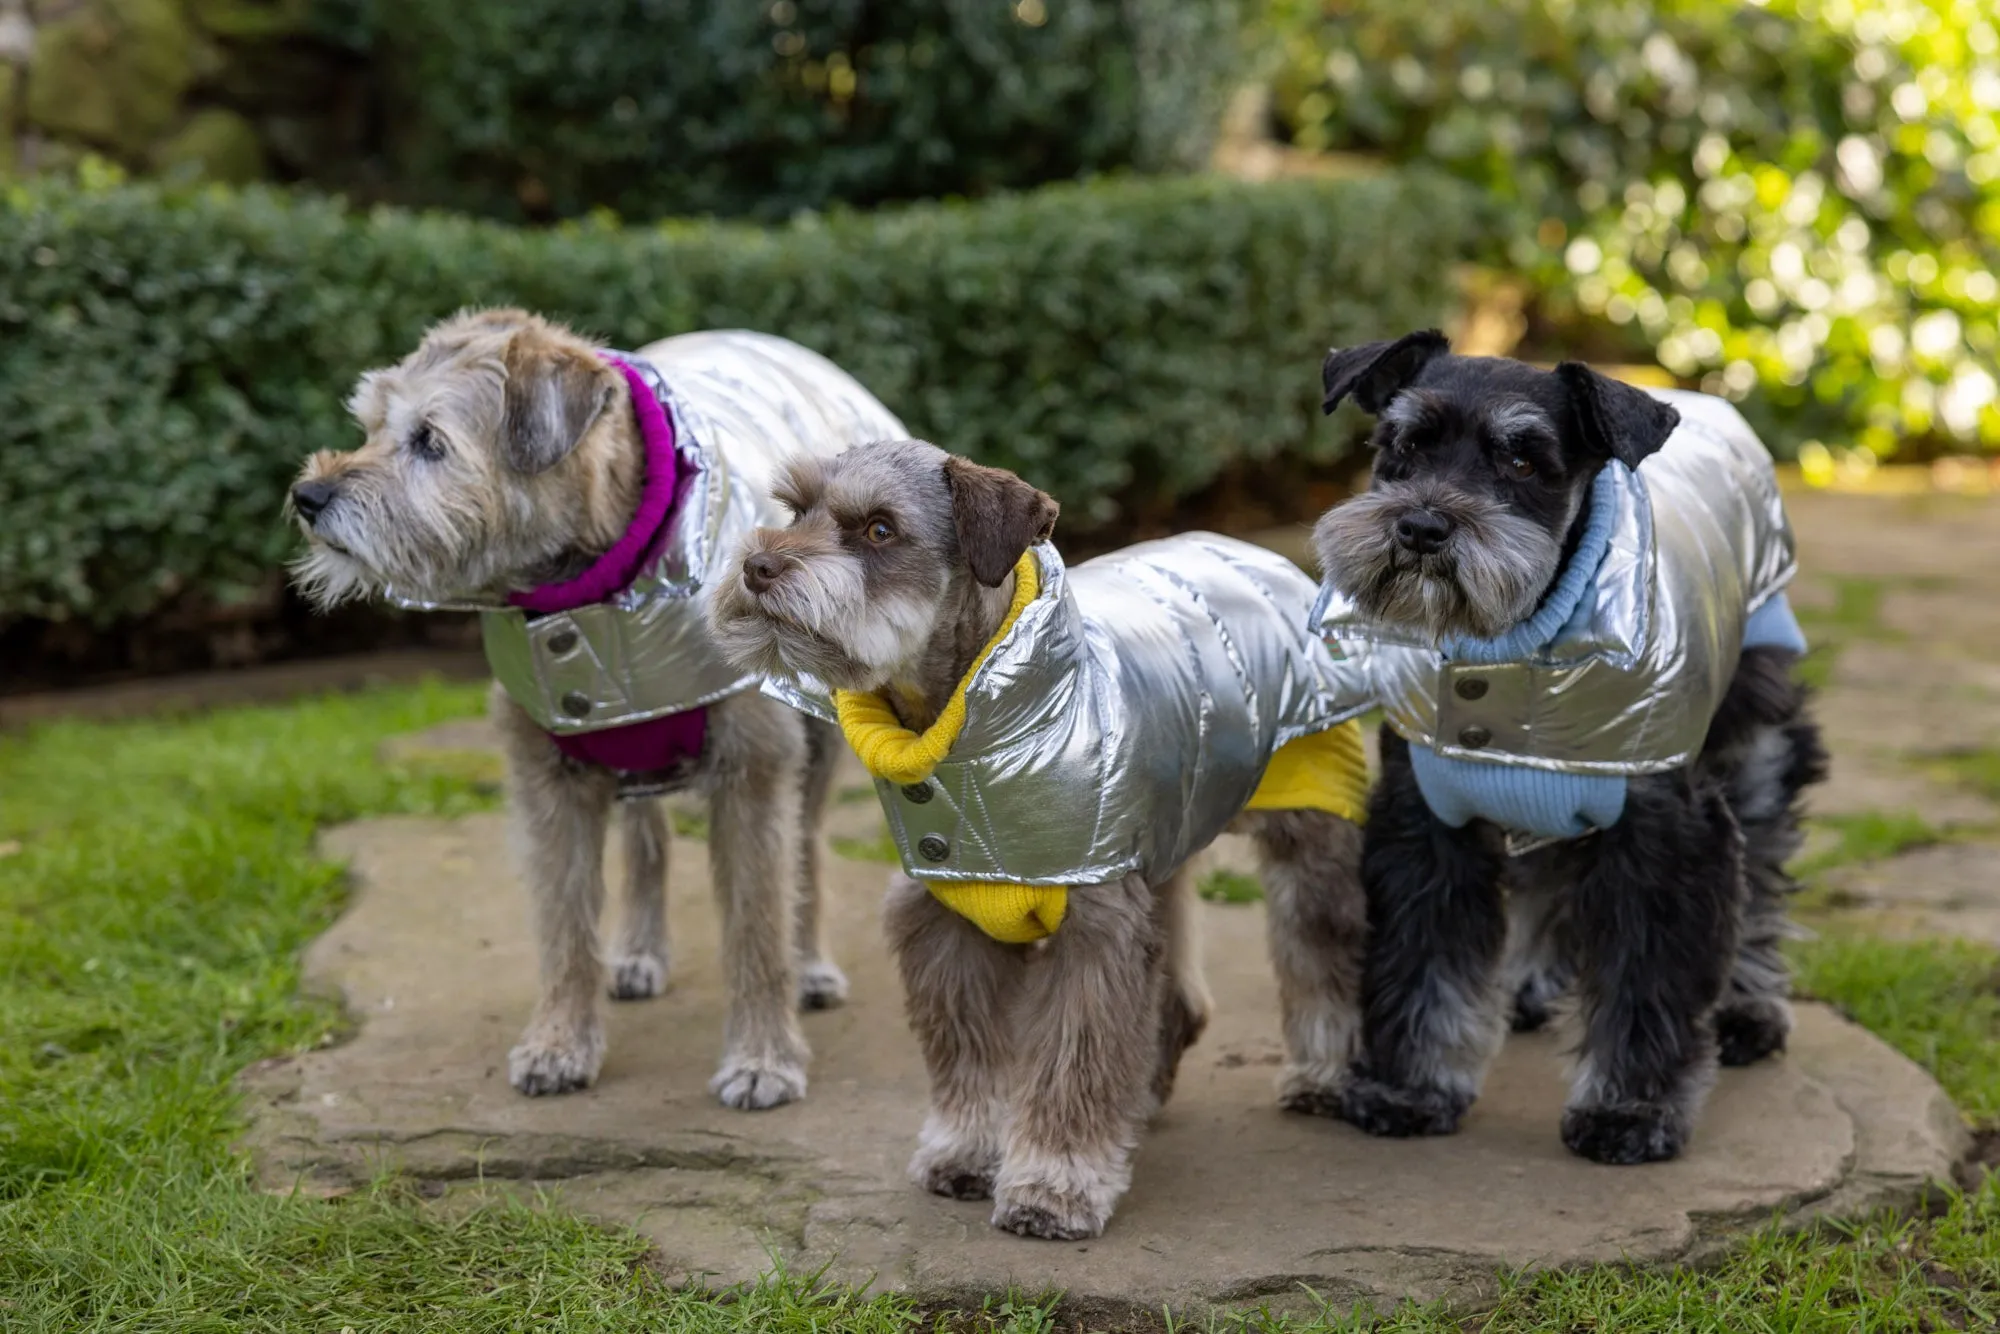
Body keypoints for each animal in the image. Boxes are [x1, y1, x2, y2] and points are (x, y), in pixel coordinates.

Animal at [288, 308, 908, 1112]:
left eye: (429, 440)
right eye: (368, 425)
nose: (307, 496)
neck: (590, 586)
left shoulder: (754, 771)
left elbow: (755, 925)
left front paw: (763, 1059)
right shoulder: (547, 774)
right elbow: (563, 925)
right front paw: (559, 1044)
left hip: (819, 742)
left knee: (804, 849)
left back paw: (809, 967)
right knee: (648, 840)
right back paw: (640, 952)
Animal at [708, 440, 1376, 1240]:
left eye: (879, 529)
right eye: (795, 509)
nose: (758, 566)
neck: (966, 730)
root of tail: (1259, 553)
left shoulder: (1095, 924)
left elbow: (1073, 1059)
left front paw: (1054, 1185)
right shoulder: (949, 918)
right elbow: (968, 1055)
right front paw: (967, 1152)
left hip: (1309, 824)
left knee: (1321, 951)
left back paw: (1321, 1073)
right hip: (1162, 851)